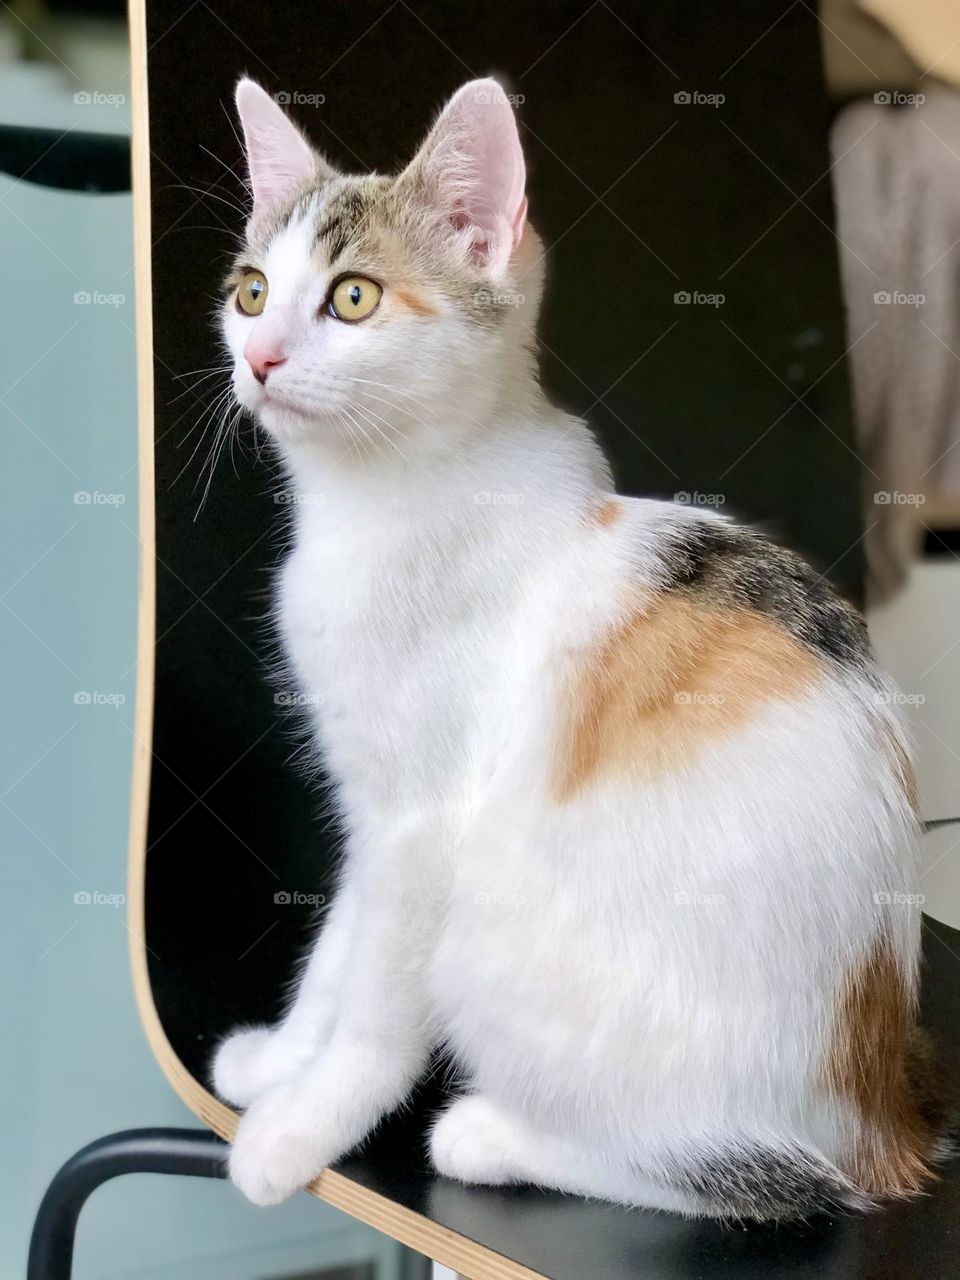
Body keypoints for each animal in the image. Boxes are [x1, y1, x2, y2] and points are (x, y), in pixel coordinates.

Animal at [207, 74, 942, 1213]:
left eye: (354, 299)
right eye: (250, 293)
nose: (259, 356)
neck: (383, 499)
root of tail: (880, 1116)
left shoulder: (425, 821)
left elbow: (376, 1004)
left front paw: (298, 1128)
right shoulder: (374, 809)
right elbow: (338, 947)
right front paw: (281, 1061)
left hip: (494, 938)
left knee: (772, 1177)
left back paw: (492, 1135)